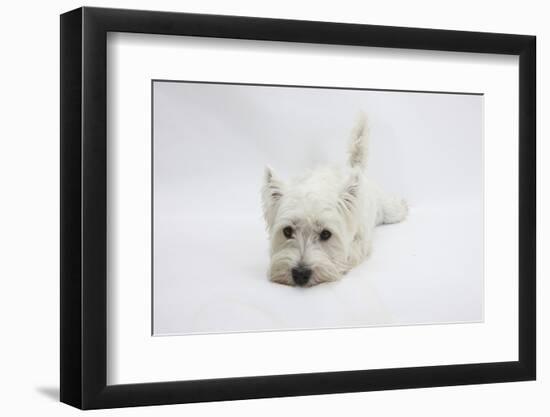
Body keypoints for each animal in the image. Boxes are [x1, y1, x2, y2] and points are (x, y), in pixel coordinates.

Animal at [264, 114, 410, 286]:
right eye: (287, 231)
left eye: (326, 234)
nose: (300, 274)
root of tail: (354, 167)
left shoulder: (360, 242)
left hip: (386, 210)